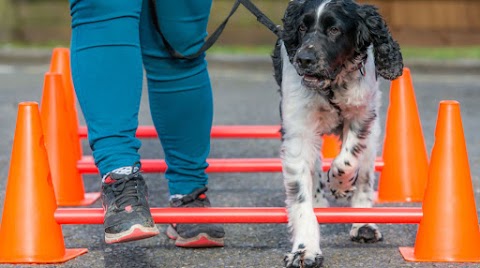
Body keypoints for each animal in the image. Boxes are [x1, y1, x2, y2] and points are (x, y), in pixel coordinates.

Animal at [272, 0, 404, 268]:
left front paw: (340, 185)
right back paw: (320, 203)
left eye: (335, 30)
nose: (304, 59)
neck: (331, 87)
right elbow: (300, 198)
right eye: (302, 27)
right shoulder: (298, 133)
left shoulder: (362, 115)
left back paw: (364, 223)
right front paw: (305, 250)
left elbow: (347, 160)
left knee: (364, 177)